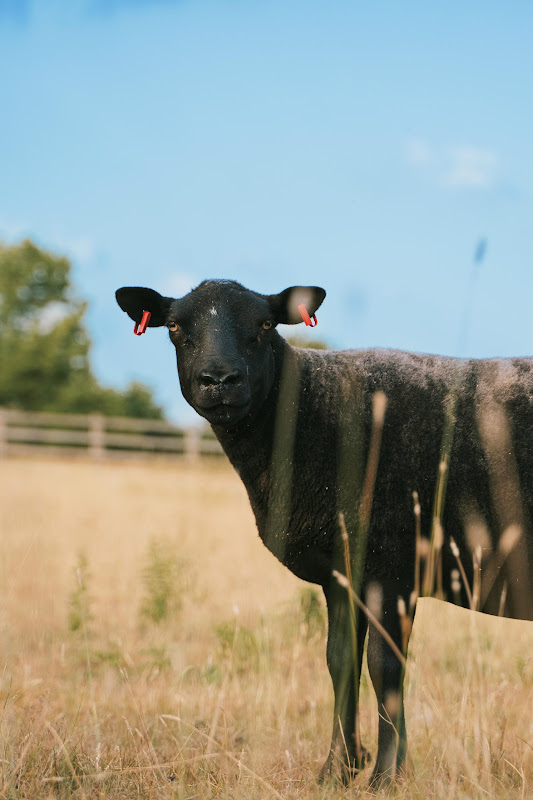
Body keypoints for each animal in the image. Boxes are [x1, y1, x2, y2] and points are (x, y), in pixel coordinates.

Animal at [116, 279, 533, 787]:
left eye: (265, 324)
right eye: (174, 326)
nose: (219, 380)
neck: (312, 411)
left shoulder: (390, 569)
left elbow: (385, 668)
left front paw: (385, 778)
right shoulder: (341, 575)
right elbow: (341, 661)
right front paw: (337, 770)